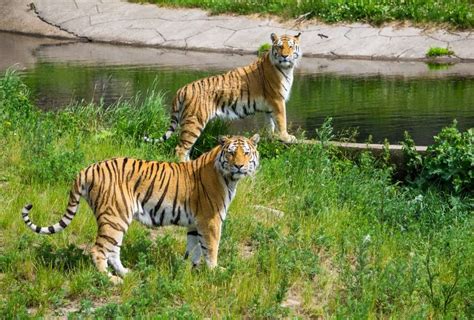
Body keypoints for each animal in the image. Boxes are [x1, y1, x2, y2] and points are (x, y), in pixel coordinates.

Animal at [21, 134, 260, 284]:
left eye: (247, 153)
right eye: (231, 153)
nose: (239, 166)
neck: (228, 178)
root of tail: (87, 169)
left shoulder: (195, 223)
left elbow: (194, 249)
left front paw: (190, 271)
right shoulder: (210, 220)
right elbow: (211, 247)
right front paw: (215, 271)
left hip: (116, 219)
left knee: (113, 250)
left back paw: (126, 273)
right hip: (114, 216)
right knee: (99, 250)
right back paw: (111, 280)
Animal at [144, 32, 302, 161]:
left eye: (291, 46)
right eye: (280, 47)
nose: (285, 56)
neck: (287, 68)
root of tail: (183, 89)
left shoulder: (270, 105)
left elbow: (271, 123)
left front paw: (272, 137)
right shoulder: (277, 100)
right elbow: (281, 120)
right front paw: (287, 137)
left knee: (185, 149)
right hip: (194, 121)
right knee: (181, 149)